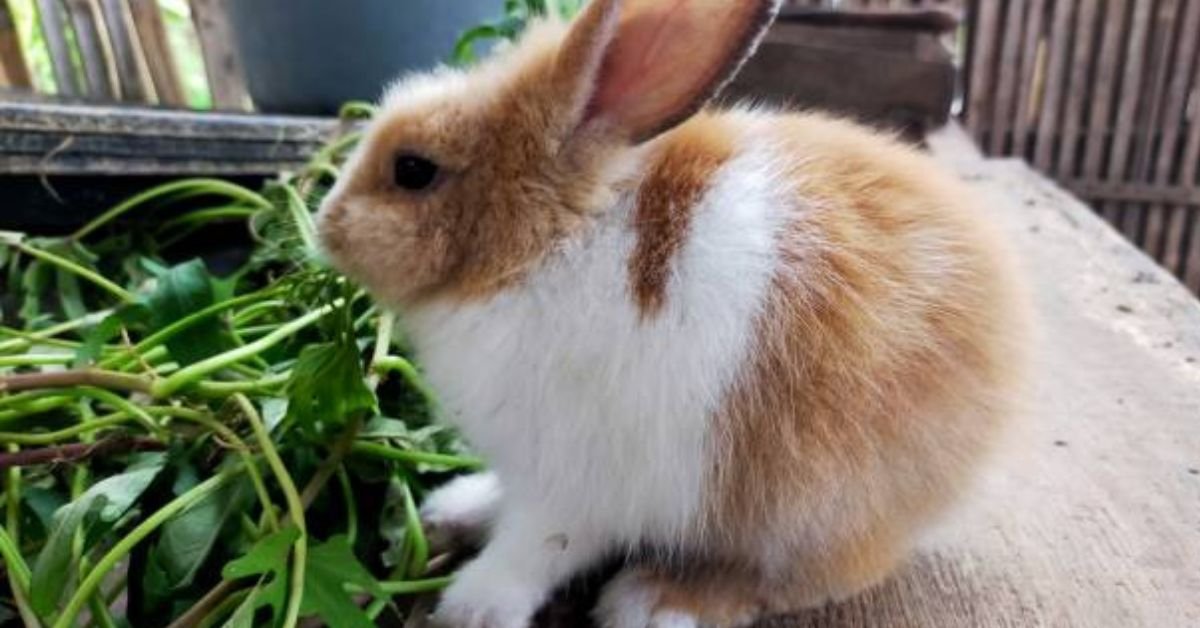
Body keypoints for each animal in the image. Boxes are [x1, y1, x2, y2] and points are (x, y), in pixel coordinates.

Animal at [316, 0, 1029, 626]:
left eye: (413, 170)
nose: (325, 226)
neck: (553, 246)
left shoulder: (569, 492)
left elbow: (530, 554)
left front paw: (470, 610)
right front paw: (453, 512)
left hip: (816, 511)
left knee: (797, 578)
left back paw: (653, 601)